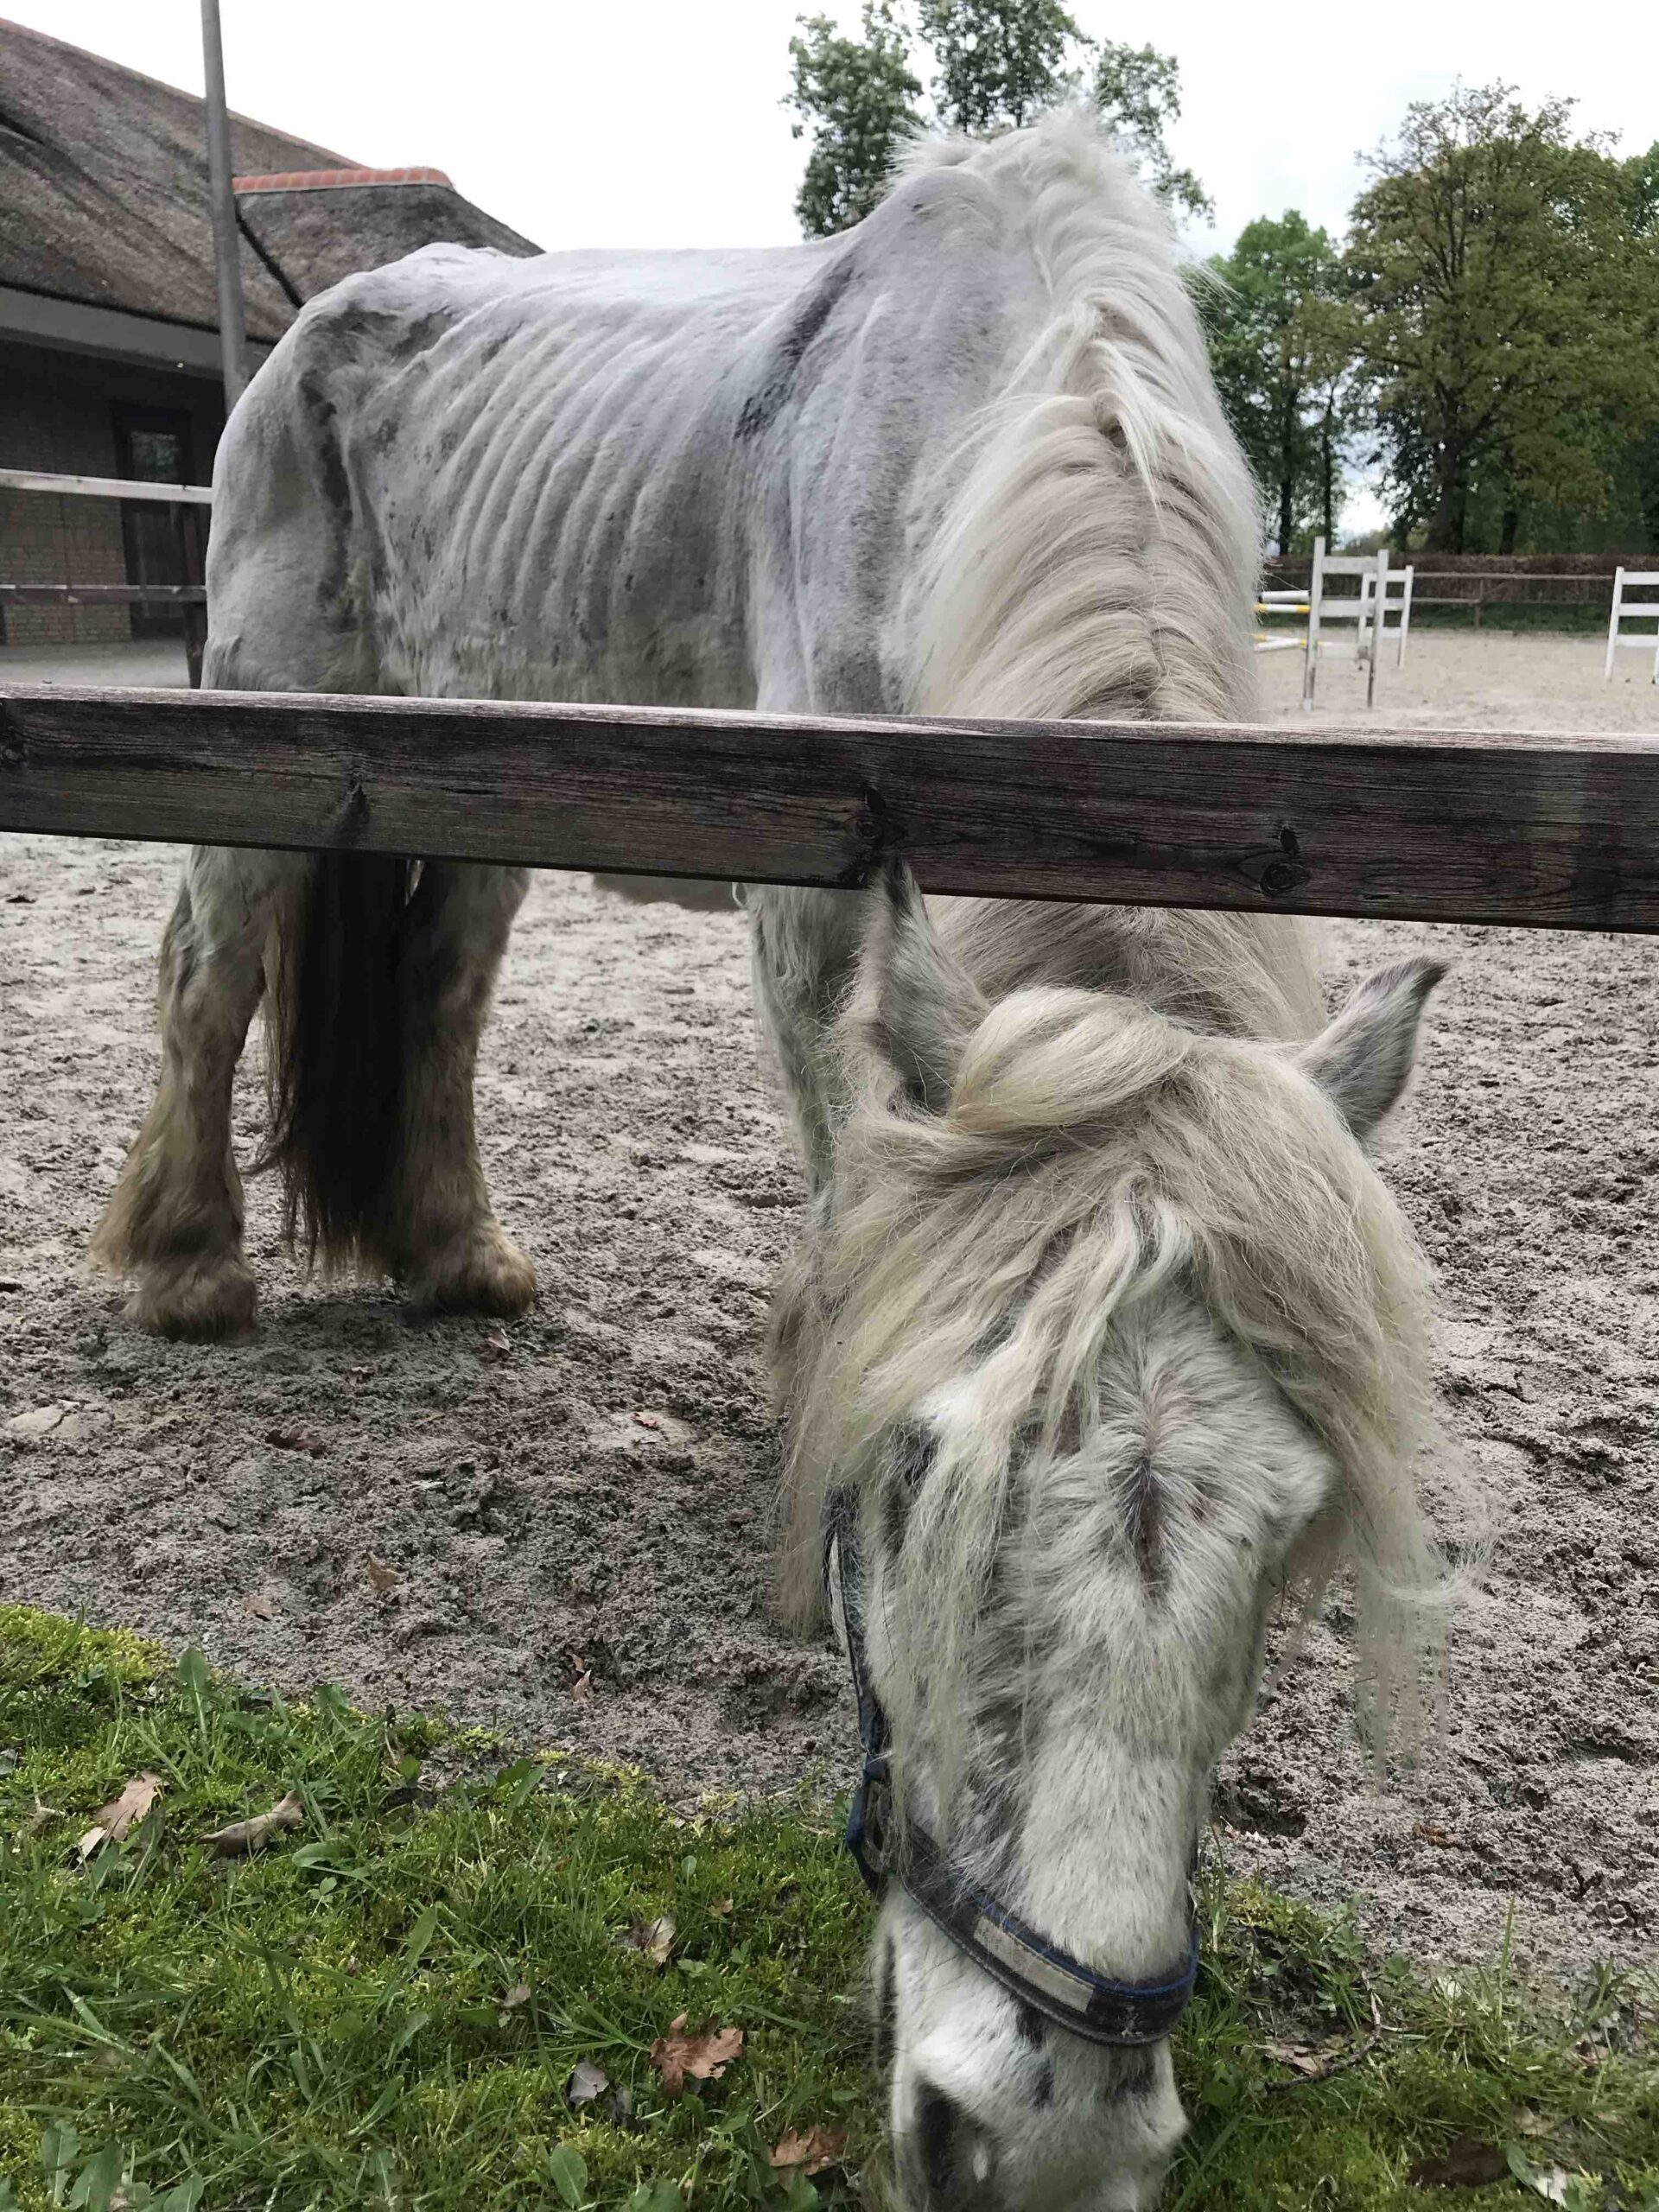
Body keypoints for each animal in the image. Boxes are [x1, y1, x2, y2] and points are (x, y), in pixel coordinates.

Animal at [97, 117, 1451, 2194]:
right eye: (908, 1478)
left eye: (1303, 1527)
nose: (1045, 2146)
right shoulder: (818, 920)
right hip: (271, 734)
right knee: (208, 964)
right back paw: (187, 1269)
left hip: (496, 772)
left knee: (447, 984)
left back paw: (458, 1256)